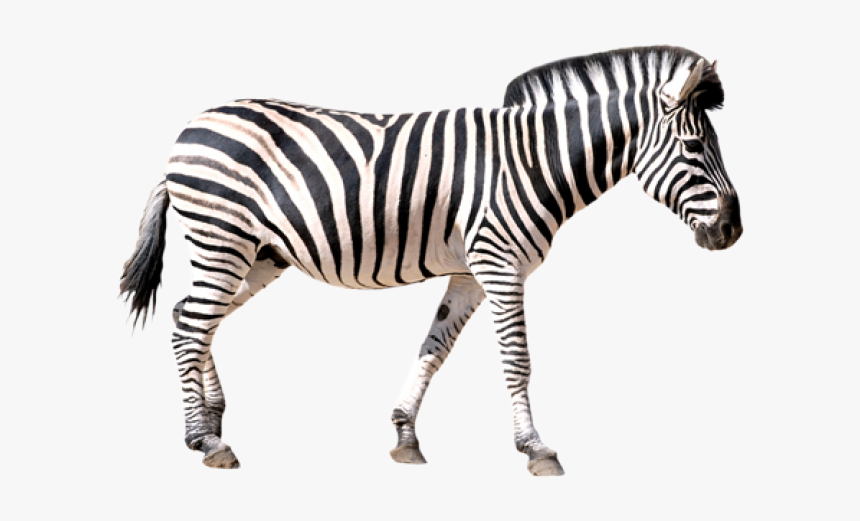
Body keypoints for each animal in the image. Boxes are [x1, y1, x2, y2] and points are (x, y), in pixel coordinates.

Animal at [121, 46, 742, 476]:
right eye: (694, 147)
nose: (733, 231)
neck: (532, 160)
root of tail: (189, 128)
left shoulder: (470, 273)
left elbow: (433, 349)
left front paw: (405, 437)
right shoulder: (500, 264)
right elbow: (517, 360)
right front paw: (535, 449)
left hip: (257, 253)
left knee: (188, 317)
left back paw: (212, 417)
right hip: (222, 238)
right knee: (191, 325)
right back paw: (206, 440)